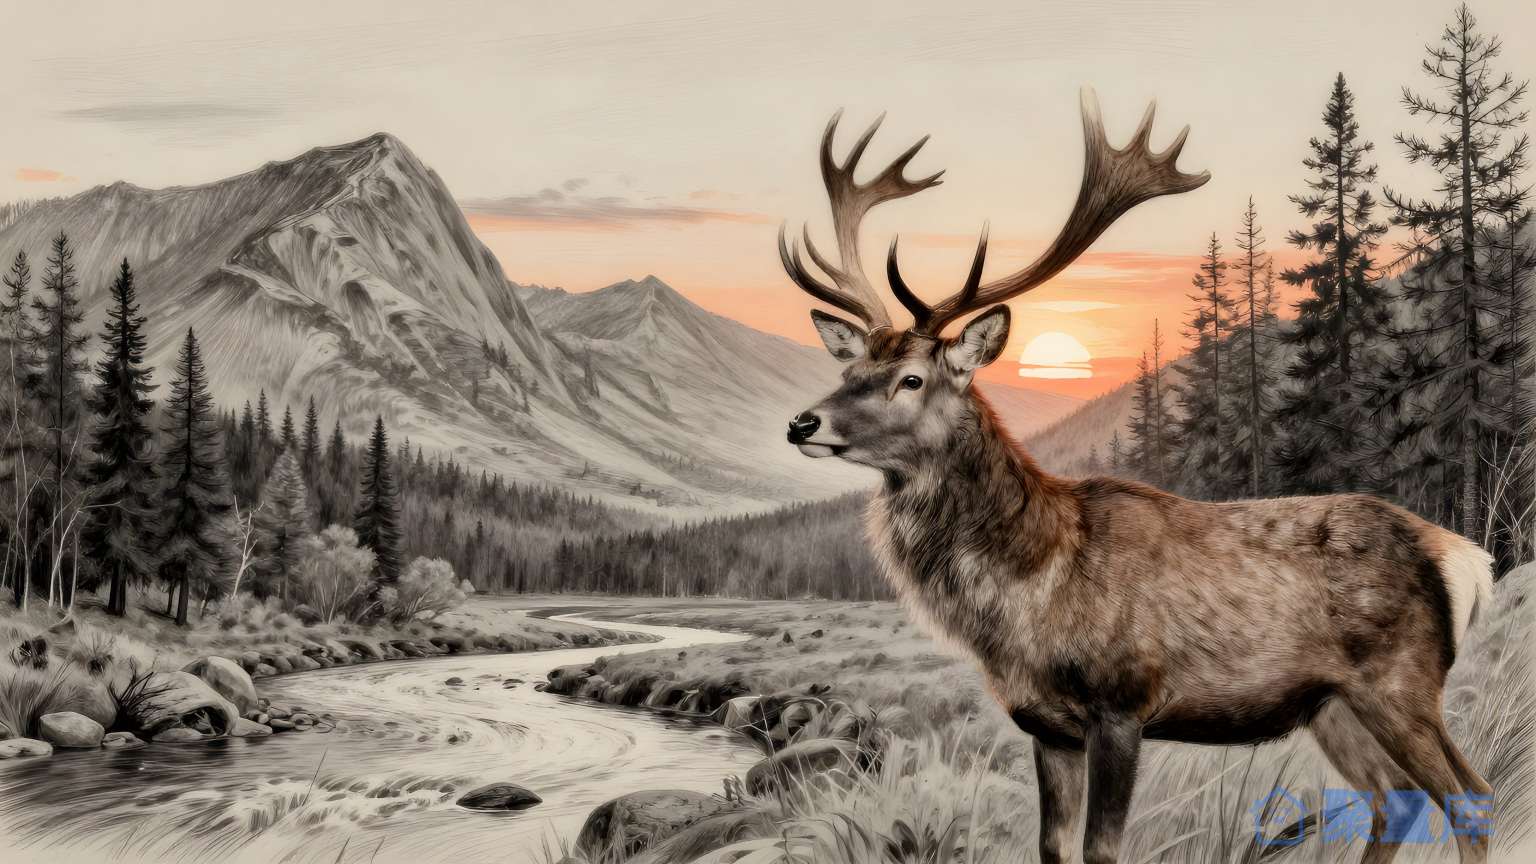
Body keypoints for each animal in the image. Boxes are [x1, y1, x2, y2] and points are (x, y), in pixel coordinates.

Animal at [779, 91, 1496, 864]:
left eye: (911, 378)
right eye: (851, 368)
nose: (803, 423)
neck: (1030, 593)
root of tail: (1464, 556)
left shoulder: (1122, 703)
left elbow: (1101, 848)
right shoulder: (1047, 725)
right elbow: (1054, 848)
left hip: (1400, 681)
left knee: (1470, 796)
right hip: (1331, 704)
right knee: (1395, 800)